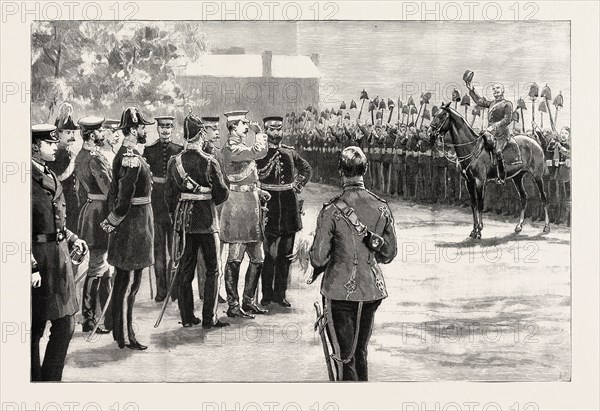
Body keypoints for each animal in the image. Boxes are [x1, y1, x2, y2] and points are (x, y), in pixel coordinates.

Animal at [426, 101, 548, 240]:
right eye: (434, 115)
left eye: (441, 116)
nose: (429, 134)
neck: (471, 147)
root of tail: (536, 142)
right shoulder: (468, 182)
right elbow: (473, 204)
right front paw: (474, 230)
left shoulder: (480, 182)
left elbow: (480, 204)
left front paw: (479, 230)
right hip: (517, 177)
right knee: (523, 197)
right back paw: (519, 226)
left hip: (537, 176)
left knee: (544, 197)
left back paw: (546, 226)